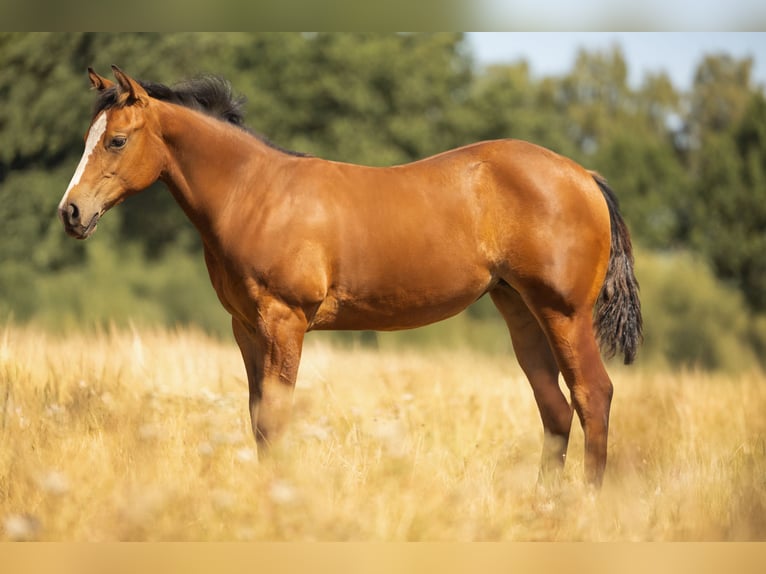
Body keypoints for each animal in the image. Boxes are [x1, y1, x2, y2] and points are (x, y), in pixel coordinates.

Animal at [58, 66, 642, 487]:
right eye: (87, 137)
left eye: (115, 141)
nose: (71, 212)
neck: (256, 193)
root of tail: (584, 176)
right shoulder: (246, 328)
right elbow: (257, 418)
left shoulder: (284, 321)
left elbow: (276, 416)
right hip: (519, 309)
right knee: (555, 408)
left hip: (564, 312)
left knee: (593, 395)